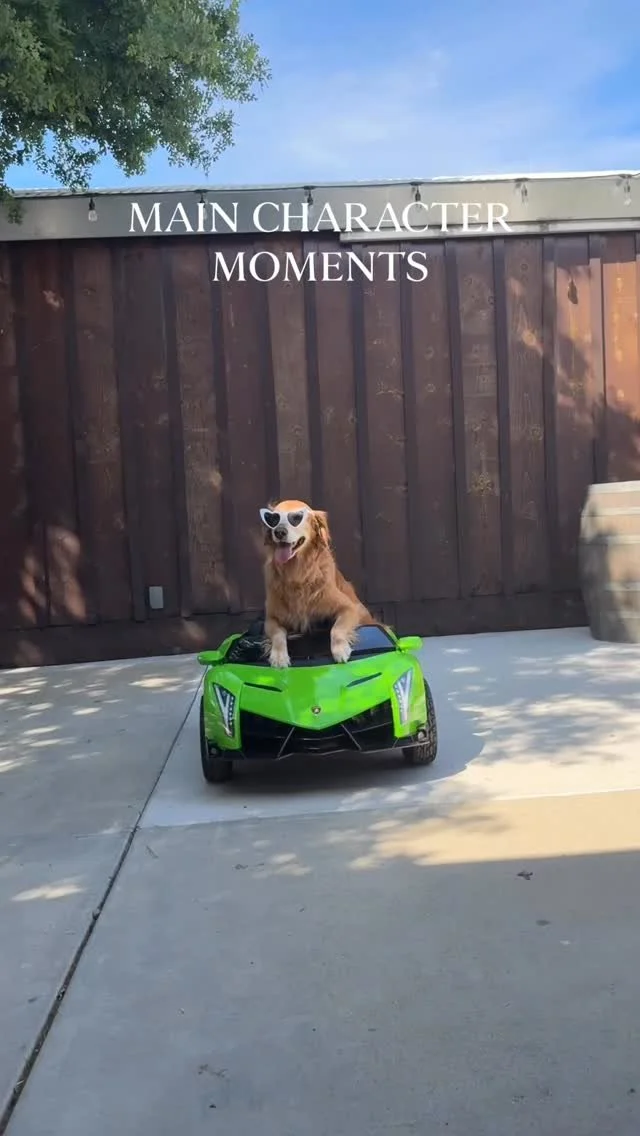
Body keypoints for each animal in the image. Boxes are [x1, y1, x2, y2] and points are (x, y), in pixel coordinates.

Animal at [259, 499, 374, 668]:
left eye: (297, 518)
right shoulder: (271, 618)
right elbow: (278, 634)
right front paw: (279, 657)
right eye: (272, 519)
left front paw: (340, 649)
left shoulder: (349, 607)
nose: (279, 532)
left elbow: (336, 629)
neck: (297, 573)